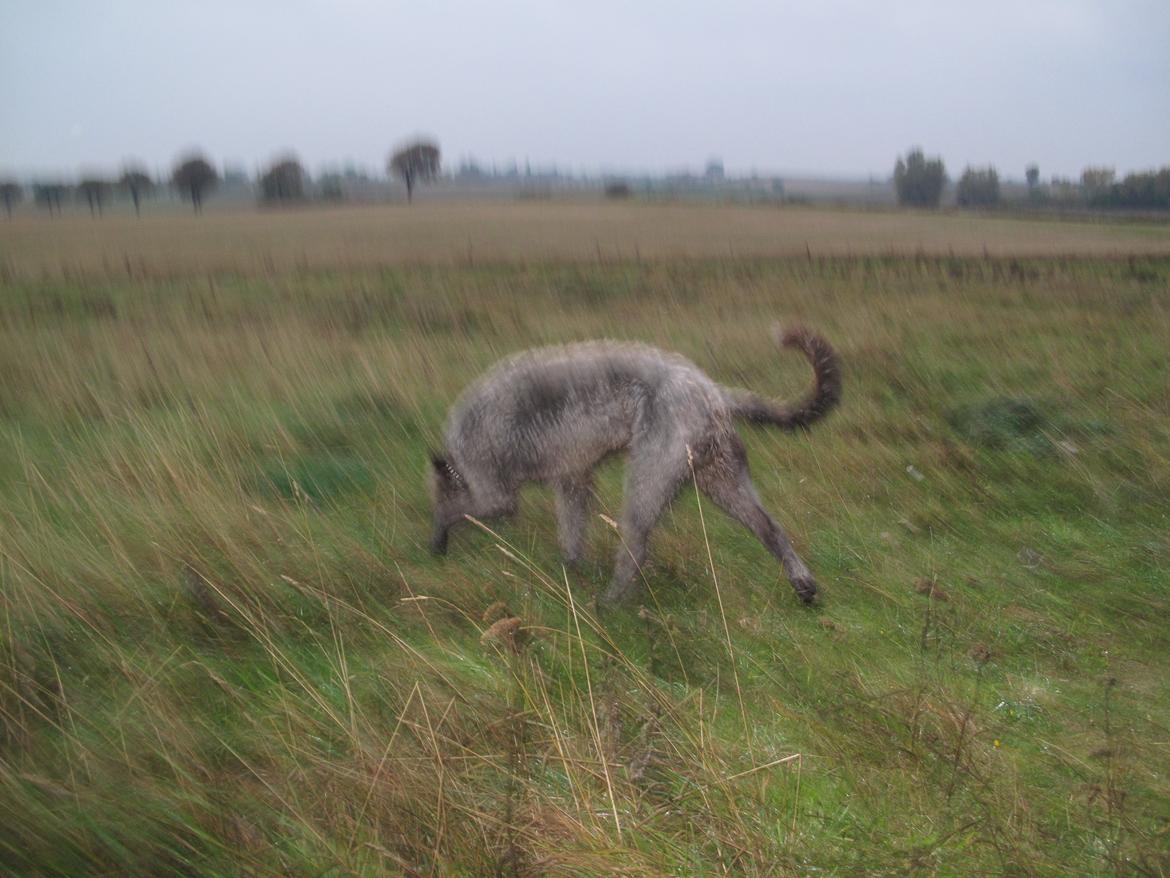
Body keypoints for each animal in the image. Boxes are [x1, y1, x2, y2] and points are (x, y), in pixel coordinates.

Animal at [430, 327, 842, 608]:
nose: (435, 554)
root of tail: (712, 390)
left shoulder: (493, 492)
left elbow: (456, 510)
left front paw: (436, 540)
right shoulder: (572, 479)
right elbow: (572, 531)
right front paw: (569, 572)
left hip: (651, 474)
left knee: (637, 546)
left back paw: (609, 603)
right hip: (721, 477)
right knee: (770, 529)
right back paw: (803, 584)